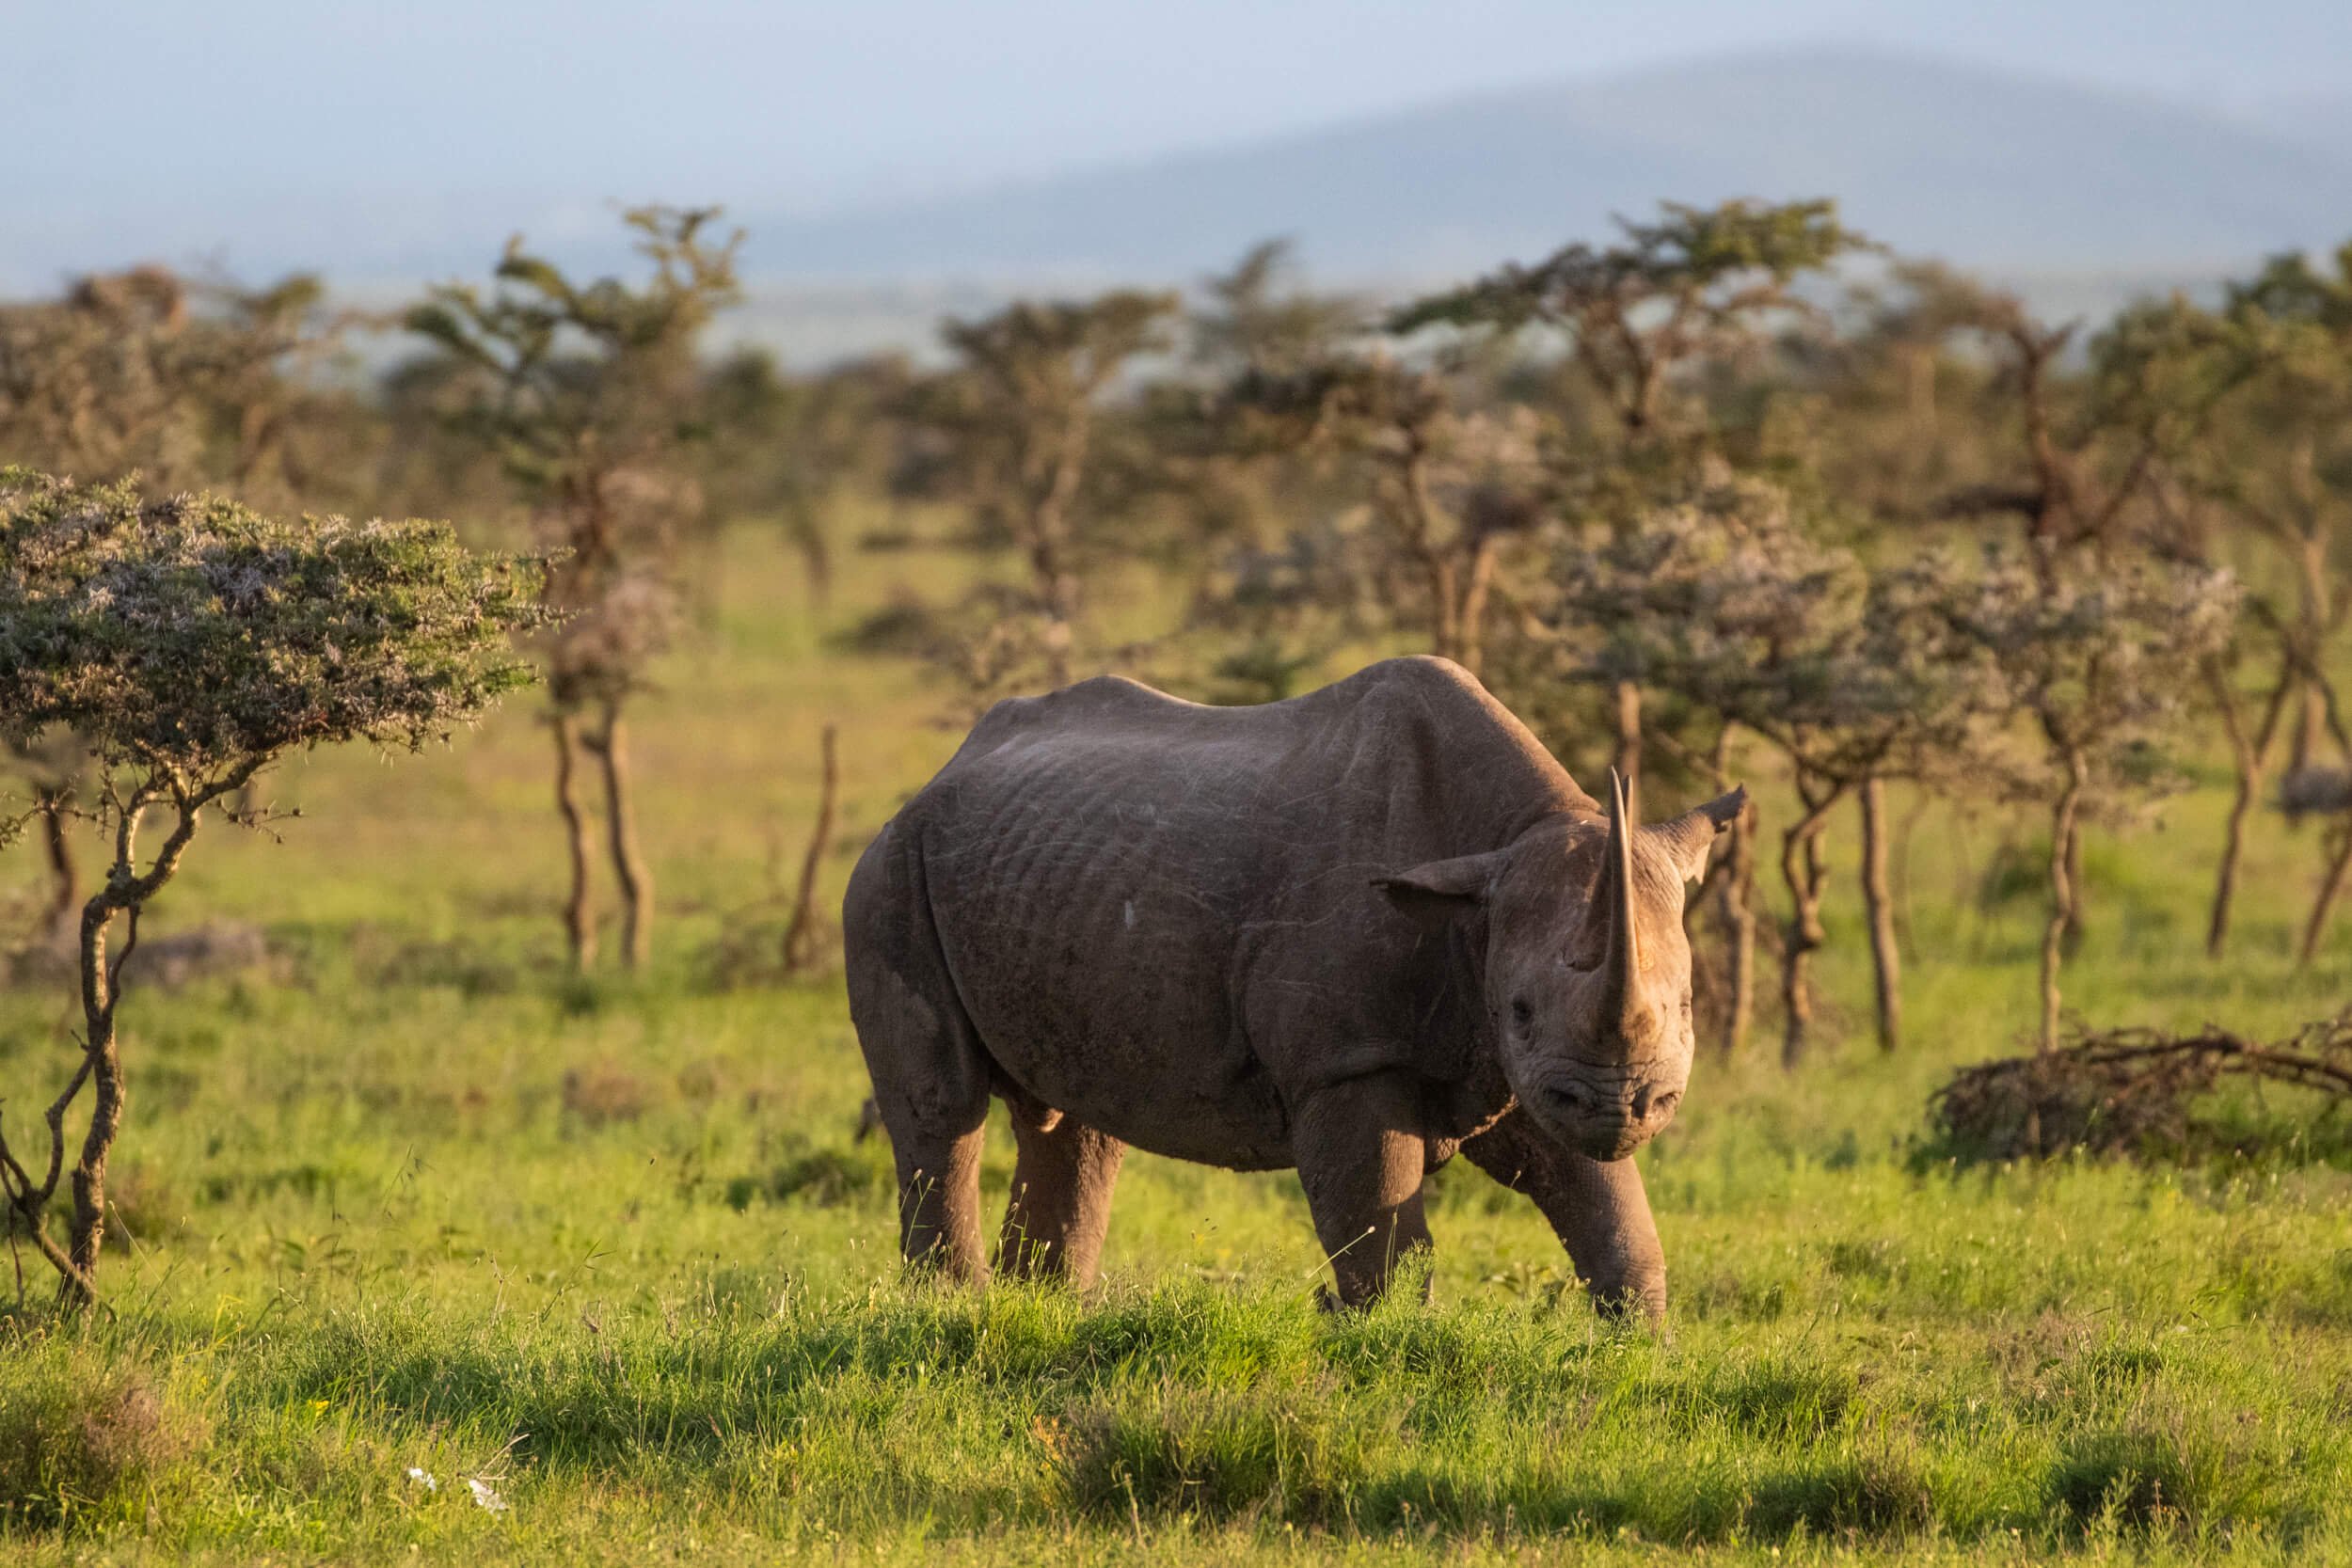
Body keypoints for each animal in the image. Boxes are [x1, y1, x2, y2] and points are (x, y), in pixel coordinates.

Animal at [843, 656, 1741, 1318]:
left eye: (1687, 1009)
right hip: (890, 872)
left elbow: (1608, 1208)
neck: (1501, 843)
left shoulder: (1518, 1062)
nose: (1624, 1106)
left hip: (1046, 866)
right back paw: (954, 1310)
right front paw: (1394, 1340)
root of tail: (941, 772)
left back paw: (1047, 1308)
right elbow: (1380, 1223)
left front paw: (1640, 1345)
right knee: (944, 1108)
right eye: (1520, 1011)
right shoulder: (1348, 1059)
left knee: (1079, 1122)